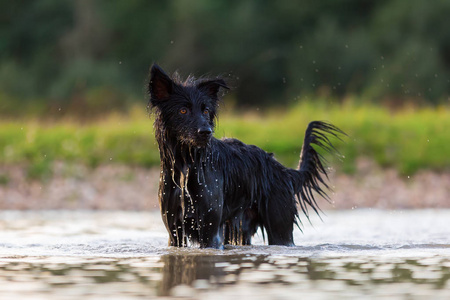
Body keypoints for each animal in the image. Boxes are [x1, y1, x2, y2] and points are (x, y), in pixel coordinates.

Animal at [148, 65, 342, 248]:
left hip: (279, 227)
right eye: (182, 111)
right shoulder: (174, 231)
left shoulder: (210, 231)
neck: (186, 165)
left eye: (206, 111)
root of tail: (284, 171)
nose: (206, 132)